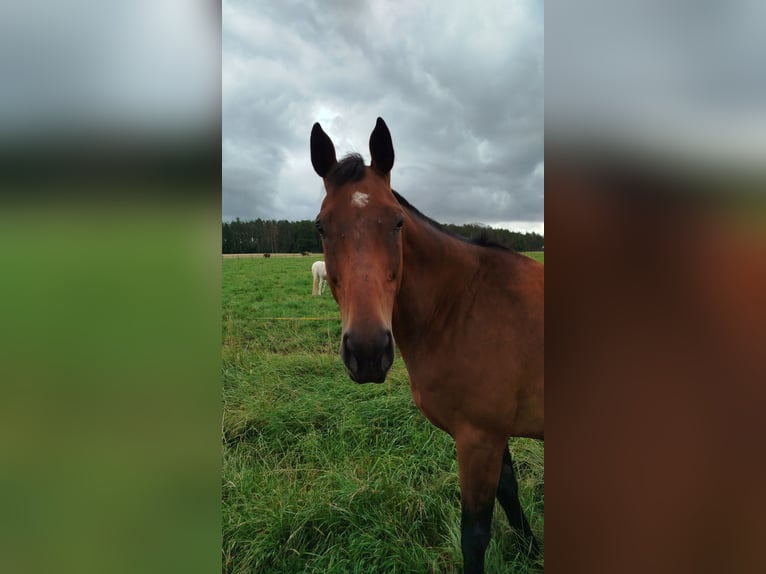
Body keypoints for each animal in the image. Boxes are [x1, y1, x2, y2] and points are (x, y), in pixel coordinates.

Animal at [308, 119, 544, 572]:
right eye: (321, 227)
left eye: (397, 222)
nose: (367, 351)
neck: (462, 304)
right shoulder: (494, 435)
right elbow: (510, 492)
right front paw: (533, 549)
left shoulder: (478, 440)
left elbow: (474, 535)